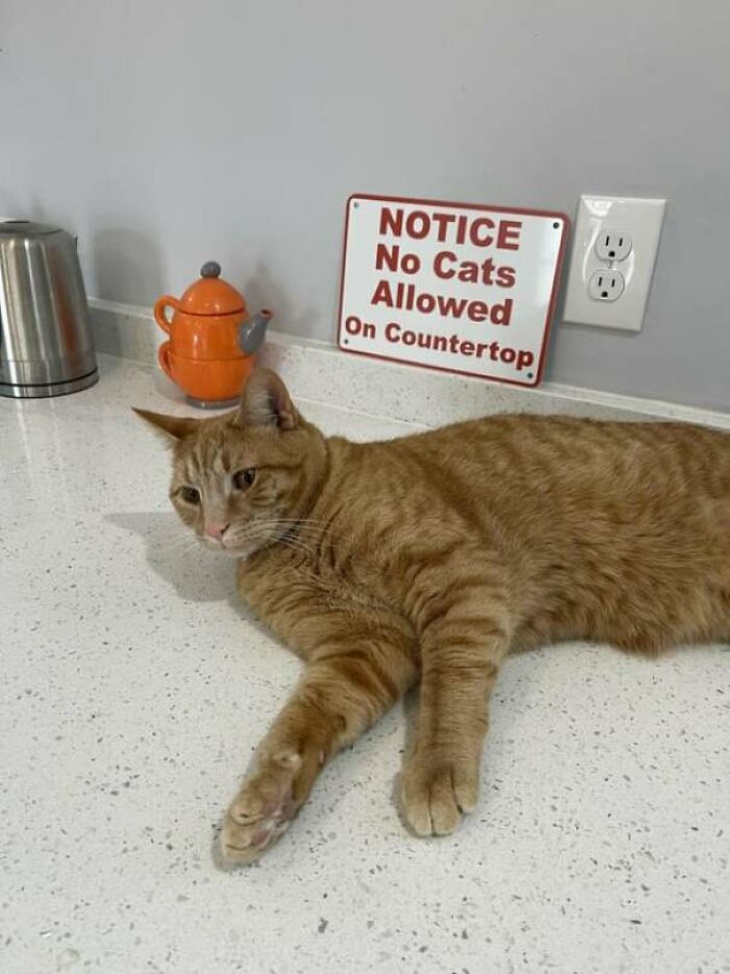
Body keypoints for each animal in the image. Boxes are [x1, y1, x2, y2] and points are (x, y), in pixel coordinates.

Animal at [135, 370, 724, 864]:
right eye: (189, 495)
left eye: (245, 478)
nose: (214, 530)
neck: (309, 537)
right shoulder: (363, 649)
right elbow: (296, 730)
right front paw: (268, 803)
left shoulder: (462, 582)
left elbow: (448, 693)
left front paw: (437, 770)